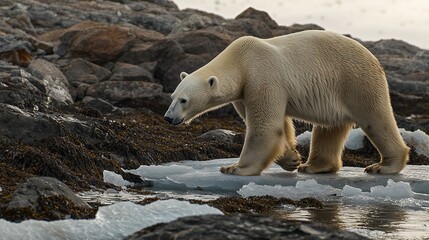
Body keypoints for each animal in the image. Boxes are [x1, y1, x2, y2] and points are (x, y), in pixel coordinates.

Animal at [163, 30, 408, 176]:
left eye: (184, 100)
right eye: (172, 97)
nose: (168, 117)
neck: (240, 60)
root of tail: (373, 58)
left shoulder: (262, 77)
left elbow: (265, 127)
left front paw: (234, 168)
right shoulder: (245, 91)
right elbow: (281, 126)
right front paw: (292, 159)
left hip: (355, 80)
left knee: (375, 119)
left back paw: (383, 166)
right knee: (330, 128)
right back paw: (313, 166)